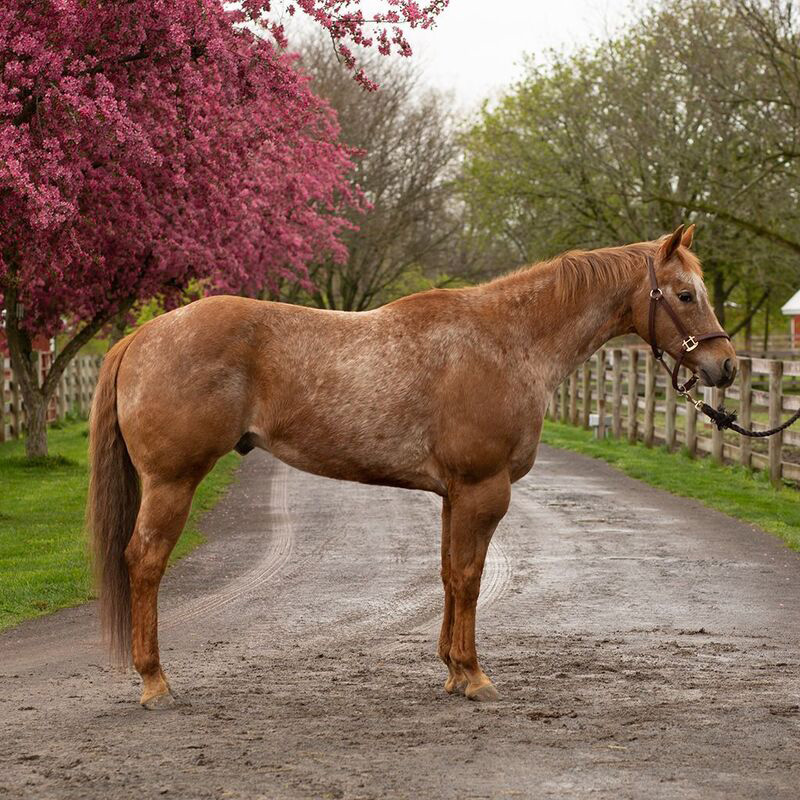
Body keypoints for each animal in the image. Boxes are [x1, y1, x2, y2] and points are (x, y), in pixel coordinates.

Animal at [87, 225, 736, 708]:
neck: (507, 341)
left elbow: (450, 576)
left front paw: (452, 670)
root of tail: (144, 334)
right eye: (685, 294)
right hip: (172, 483)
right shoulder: (482, 490)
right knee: (144, 562)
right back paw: (155, 683)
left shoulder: (454, 494)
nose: (726, 366)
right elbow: (471, 578)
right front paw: (474, 676)